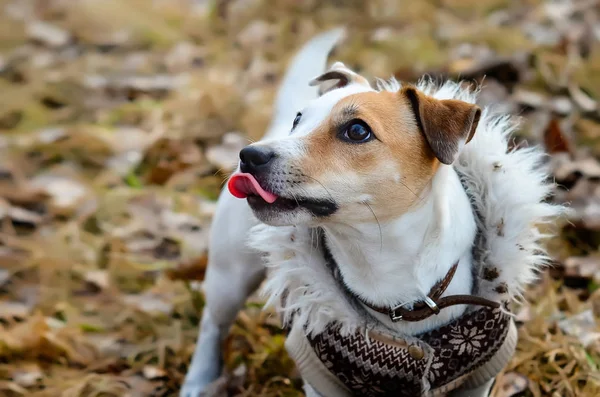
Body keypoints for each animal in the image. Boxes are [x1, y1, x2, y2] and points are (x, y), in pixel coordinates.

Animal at [180, 27, 564, 396]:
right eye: (298, 121)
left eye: (357, 130)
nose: (249, 156)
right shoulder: (323, 377)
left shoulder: (479, 378)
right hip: (230, 274)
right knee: (212, 323)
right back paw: (199, 380)